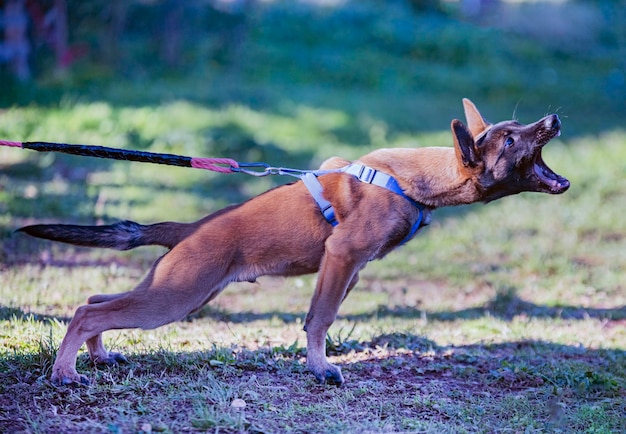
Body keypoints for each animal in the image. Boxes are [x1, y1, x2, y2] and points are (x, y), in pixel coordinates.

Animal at [18, 100, 564, 384]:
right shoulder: (342, 257)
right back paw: (65, 373)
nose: (553, 120)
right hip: (176, 297)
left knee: (95, 300)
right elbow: (319, 319)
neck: (412, 180)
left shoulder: (349, 269)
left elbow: (322, 314)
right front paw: (320, 368)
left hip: (175, 289)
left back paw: (98, 357)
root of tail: (192, 227)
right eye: (510, 139)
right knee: (87, 311)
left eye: (518, 127)